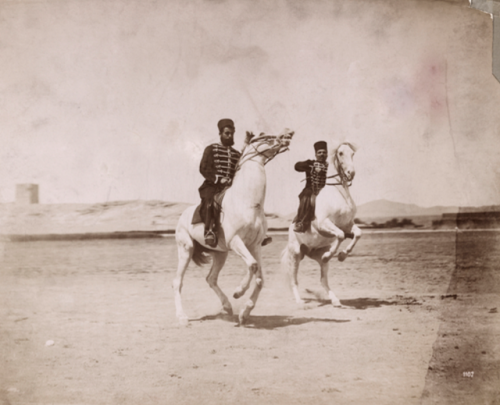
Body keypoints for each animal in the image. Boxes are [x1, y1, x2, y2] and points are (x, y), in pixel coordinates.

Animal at [174, 128, 294, 324]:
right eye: (264, 136)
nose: (288, 134)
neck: (248, 202)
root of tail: (182, 216)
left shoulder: (254, 245)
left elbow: (260, 278)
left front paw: (245, 312)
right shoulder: (236, 241)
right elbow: (252, 265)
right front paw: (239, 291)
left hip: (220, 253)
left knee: (211, 278)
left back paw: (227, 307)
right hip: (186, 248)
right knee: (177, 281)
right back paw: (182, 316)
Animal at [282, 141, 360, 306]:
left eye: (352, 153)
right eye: (341, 153)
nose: (351, 173)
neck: (339, 194)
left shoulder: (347, 224)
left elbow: (357, 234)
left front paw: (342, 255)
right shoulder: (325, 224)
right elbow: (340, 235)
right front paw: (333, 254)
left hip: (314, 254)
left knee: (323, 280)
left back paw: (335, 300)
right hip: (295, 254)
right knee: (294, 279)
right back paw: (299, 301)